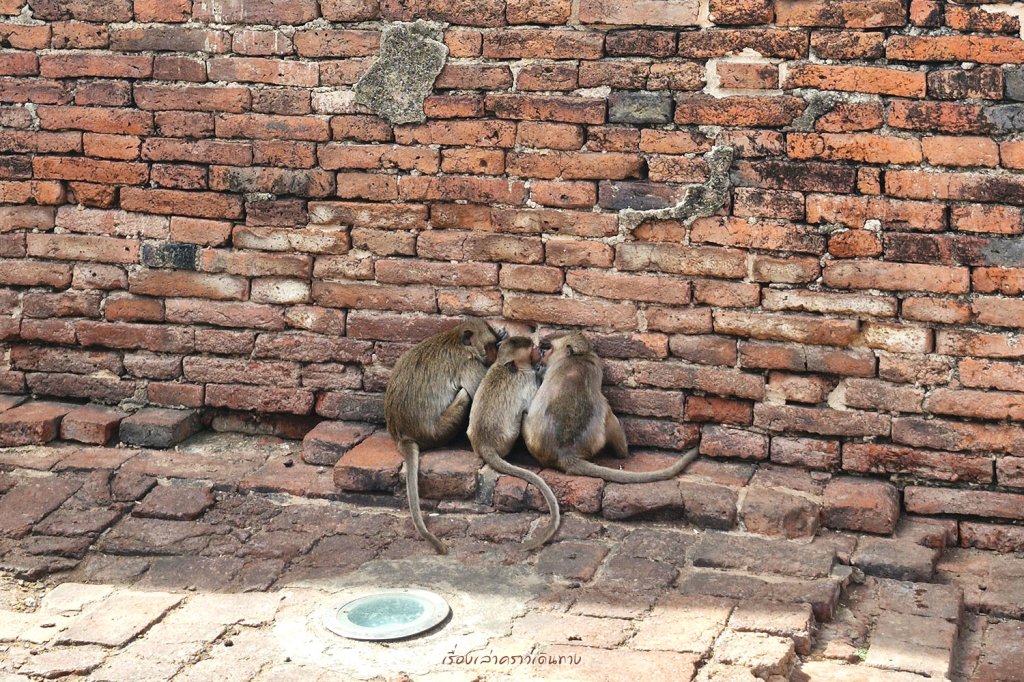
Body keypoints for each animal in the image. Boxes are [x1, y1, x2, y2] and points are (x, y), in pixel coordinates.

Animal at [384, 318, 503, 554]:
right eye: (490, 346)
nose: (494, 358)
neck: (456, 340)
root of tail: (403, 435)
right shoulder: (469, 364)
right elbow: (476, 391)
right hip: (439, 430)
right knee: (464, 395)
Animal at [467, 336, 561, 551]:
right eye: (532, 350)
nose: (539, 352)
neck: (506, 366)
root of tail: (484, 444)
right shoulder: (528, 381)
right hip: (507, 438)